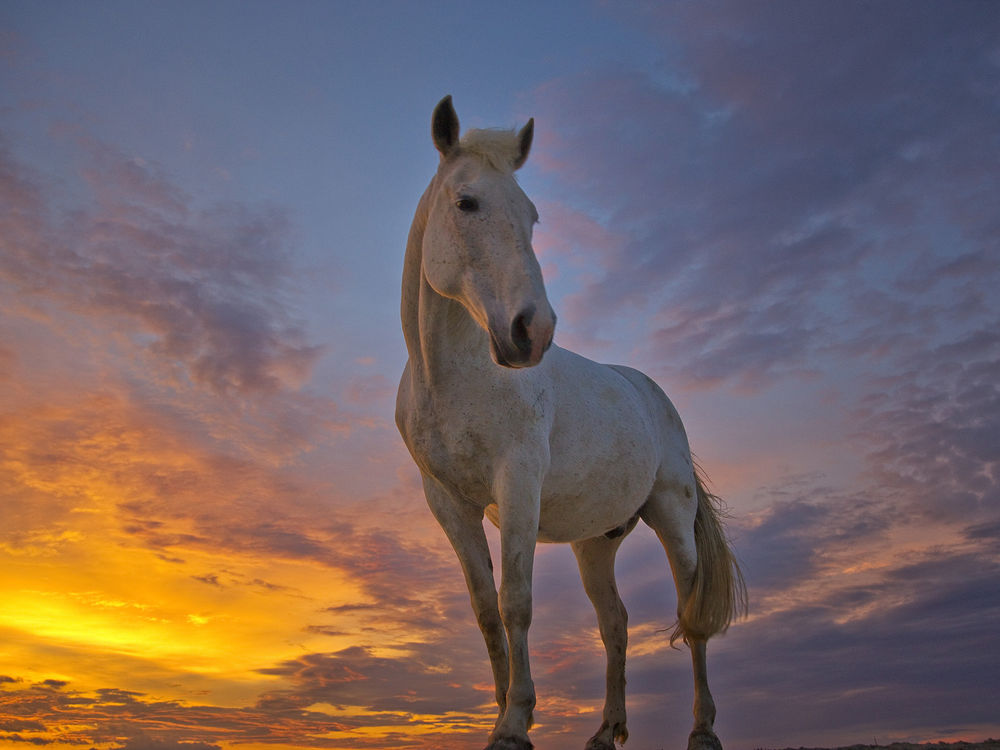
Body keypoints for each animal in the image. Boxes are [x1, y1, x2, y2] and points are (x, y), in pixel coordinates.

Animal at [394, 98, 748, 750]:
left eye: (532, 216)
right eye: (466, 202)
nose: (532, 330)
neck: (454, 376)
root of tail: (651, 393)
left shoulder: (518, 486)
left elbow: (517, 602)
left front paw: (515, 723)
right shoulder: (448, 503)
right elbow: (486, 609)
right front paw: (502, 714)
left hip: (672, 517)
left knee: (690, 617)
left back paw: (703, 730)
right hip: (595, 543)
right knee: (615, 624)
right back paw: (607, 730)